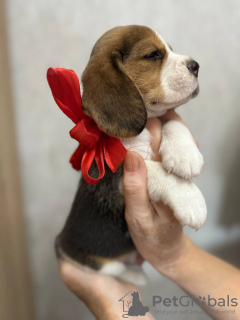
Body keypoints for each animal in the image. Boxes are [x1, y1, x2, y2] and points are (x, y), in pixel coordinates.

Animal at [55, 25, 206, 284]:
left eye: (170, 50)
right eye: (154, 55)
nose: (195, 65)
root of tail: (59, 243)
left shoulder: (162, 119)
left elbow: (171, 121)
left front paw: (185, 155)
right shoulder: (117, 177)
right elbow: (155, 171)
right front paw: (190, 199)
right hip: (88, 261)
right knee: (115, 270)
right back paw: (135, 275)